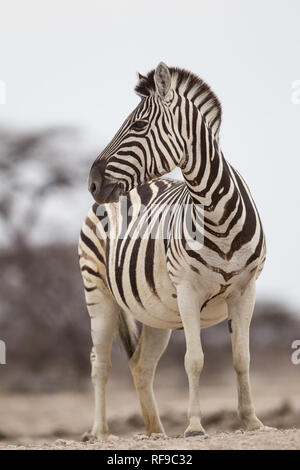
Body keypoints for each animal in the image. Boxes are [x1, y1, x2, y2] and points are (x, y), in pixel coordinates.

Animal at [78, 62, 268, 440]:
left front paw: (252, 421)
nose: (92, 183)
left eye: (138, 125)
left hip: (157, 313)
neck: (216, 213)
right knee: (100, 364)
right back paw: (100, 432)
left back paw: (156, 432)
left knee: (141, 365)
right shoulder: (188, 290)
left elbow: (242, 358)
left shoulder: (246, 289)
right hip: (98, 294)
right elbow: (194, 360)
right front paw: (194, 427)